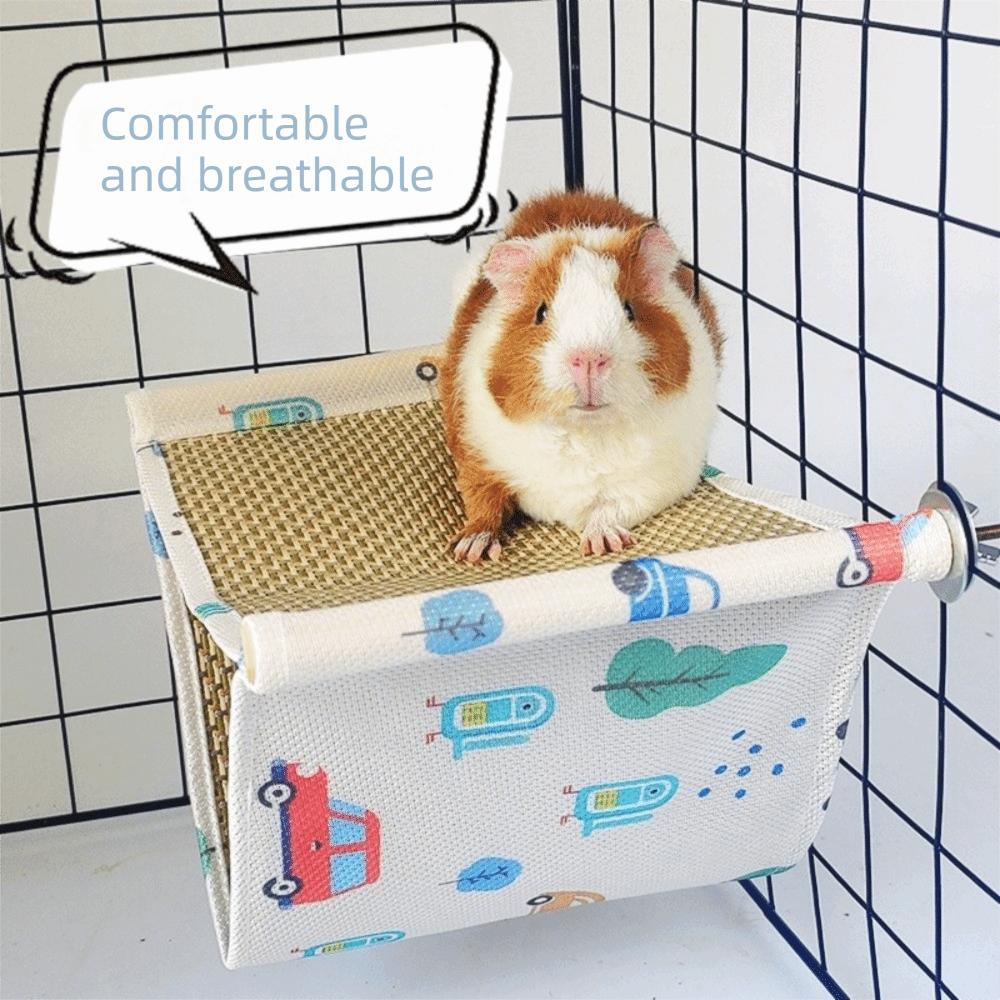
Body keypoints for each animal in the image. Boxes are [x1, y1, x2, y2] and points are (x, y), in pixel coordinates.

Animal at [440, 189, 723, 563]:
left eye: (629, 309)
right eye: (540, 312)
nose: (589, 359)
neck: (585, 430)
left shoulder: (654, 483)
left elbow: (611, 508)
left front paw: (602, 543)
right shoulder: (477, 452)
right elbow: (483, 501)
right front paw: (471, 552)